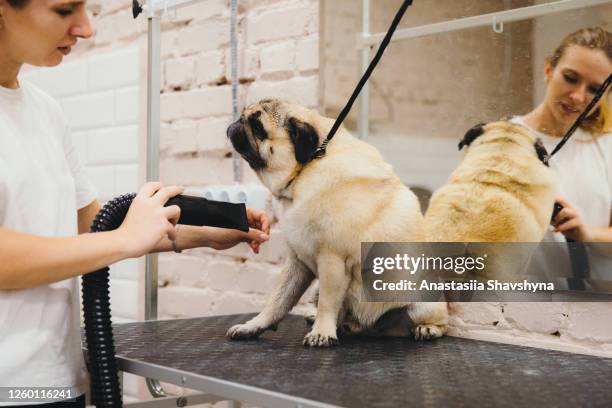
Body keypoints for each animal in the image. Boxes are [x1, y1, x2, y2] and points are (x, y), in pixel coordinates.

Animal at [227, 97, 448, 346]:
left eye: (257, 127)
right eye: (244, 115)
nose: (237, 122)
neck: (305, 172)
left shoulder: (332, 259)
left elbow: (327, 301)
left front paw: (322, 332)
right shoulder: (297, 263)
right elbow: (277, 301)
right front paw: (253, 326)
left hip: (423, 303)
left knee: (439, 324)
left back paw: (426, 329)